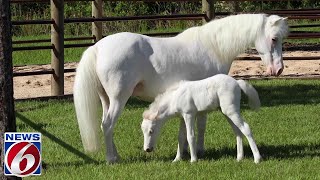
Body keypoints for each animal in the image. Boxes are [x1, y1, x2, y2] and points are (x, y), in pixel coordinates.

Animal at [74, 13, 288, 163]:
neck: (213, 46)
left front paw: (186, 152)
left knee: (104, 124)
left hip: (106, 99)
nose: (278, 69)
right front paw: (198, 151)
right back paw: (111, 159)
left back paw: (115, 155)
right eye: (274, 39)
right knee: (108, 124)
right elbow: (201, 125)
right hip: (119, 98)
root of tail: (98, 47)